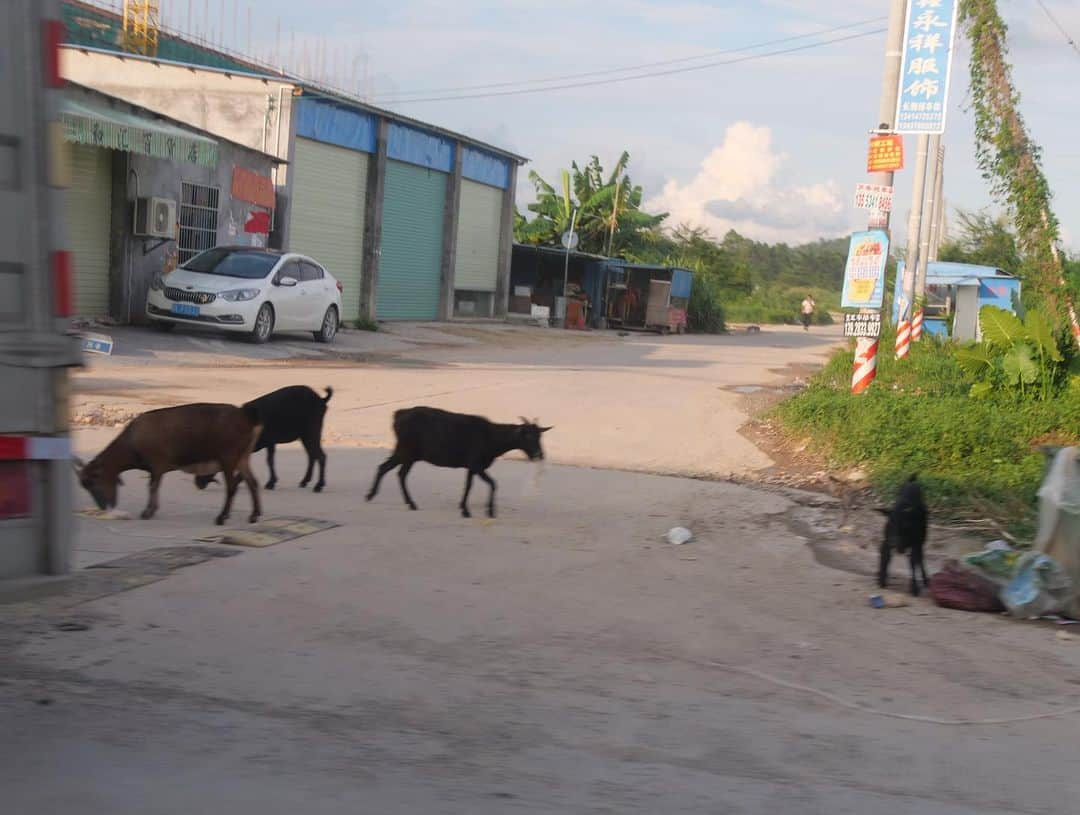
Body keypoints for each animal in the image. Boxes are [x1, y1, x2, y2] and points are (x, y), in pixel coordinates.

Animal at [74, 405, 263, 526]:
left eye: (93, 481)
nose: (103, 506)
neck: (132, 445)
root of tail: (249, 422)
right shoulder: (156, 467)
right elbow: (154, 486)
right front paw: (151, 510)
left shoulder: (157, 462)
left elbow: (152, 486)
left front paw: (147, 512)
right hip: (243, 457)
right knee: (253, 482)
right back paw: (254, 515)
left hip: (228, 456)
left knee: (232, 487)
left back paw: (221, 518)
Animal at [194, 386, 328, 494]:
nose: (197, 483)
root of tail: (322, 399)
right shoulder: (267, 443)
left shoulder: (269, 441)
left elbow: (269, 461)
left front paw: (270, 482)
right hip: (305, 435)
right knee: (312, 455)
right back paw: (304, 481)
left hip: (312, 432)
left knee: (320, 456)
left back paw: (318, 485)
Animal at [367, 405, 552, 520]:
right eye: (527, 436)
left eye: (540, 436)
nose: (539, 454)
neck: (492, 439)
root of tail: (398, 415)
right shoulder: (476, 463)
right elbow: (492, 484)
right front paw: (488, 511)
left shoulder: (472, 466)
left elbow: (468, 485)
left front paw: (464, 508)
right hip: (408, 451)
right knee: (399, 473)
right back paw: (410, 503)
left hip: (405, 452)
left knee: (387, 468)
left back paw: (372, 495)